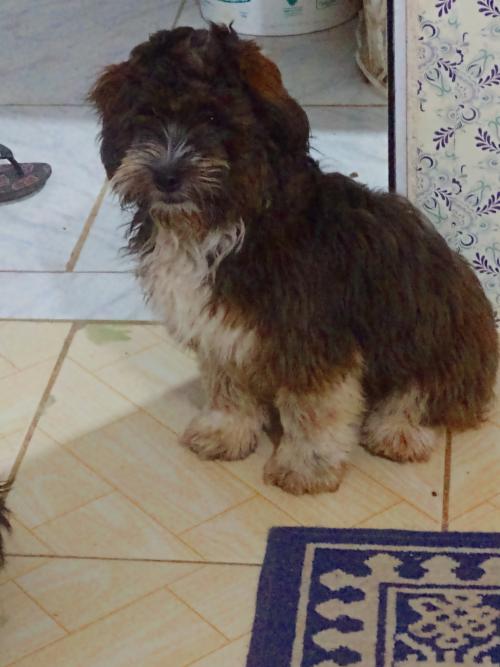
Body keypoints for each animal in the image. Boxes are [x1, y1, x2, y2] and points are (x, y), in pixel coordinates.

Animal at [90, 25, 498, 495]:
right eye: (147, 115)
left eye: (212, 118)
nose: (166, 176)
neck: (224, 221)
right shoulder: (220, 329)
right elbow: (227, 384)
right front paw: (226, 432)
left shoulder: (308, 337)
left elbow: (312, 408)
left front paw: (306, 465)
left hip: (435, 332)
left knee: (427, 393)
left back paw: (395, 429)